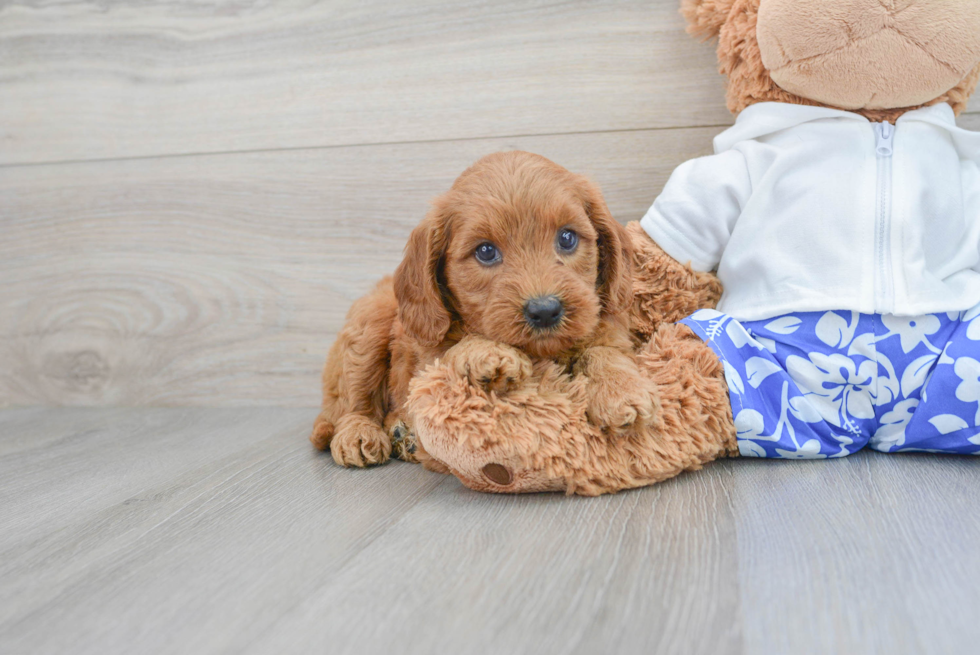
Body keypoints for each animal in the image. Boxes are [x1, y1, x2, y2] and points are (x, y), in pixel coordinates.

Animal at [310, 150, 656, 466]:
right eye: (486, 251)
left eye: (567, 238)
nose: (545, 310)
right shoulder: (426, 358)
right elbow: (452, 349)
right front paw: (487, 353)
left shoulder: (608, 327)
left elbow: (603, 352)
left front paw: (620, 390)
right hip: (370, 325)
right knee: (354, 401)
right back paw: (359, 434)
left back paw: (402, 434)